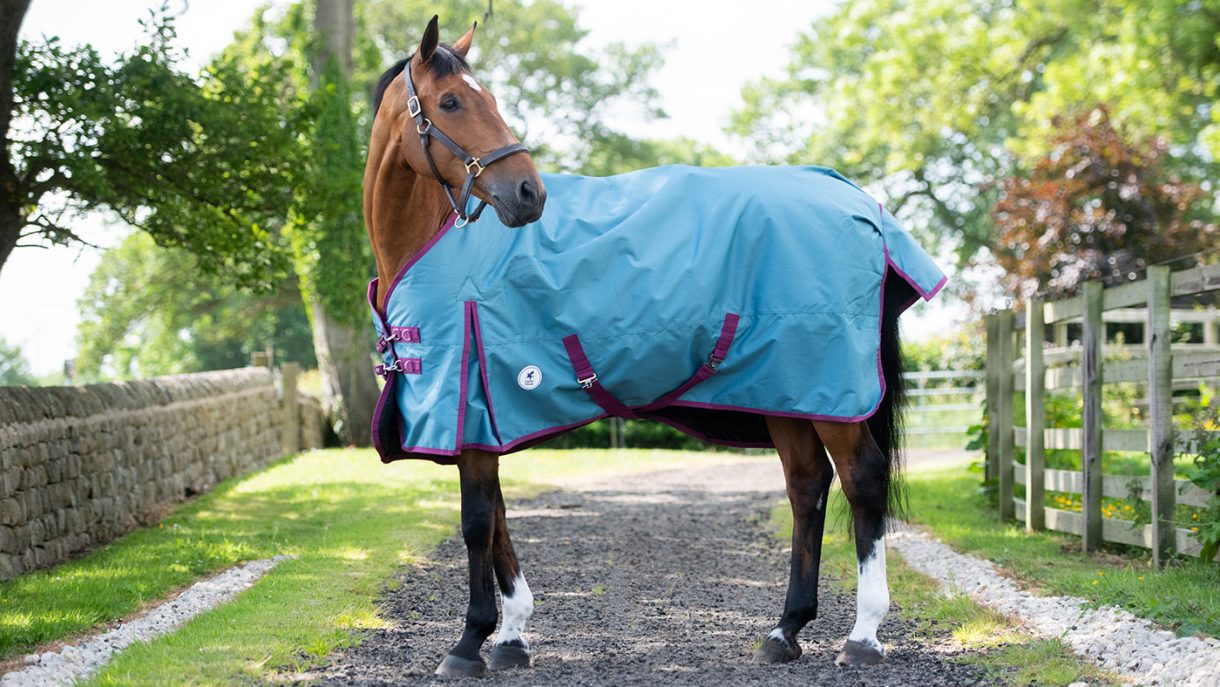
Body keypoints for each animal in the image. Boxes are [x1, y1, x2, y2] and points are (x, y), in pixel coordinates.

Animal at [363, 16, 942, 678]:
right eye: (453, 102)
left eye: (489, 100)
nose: (529, 194)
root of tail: (857, 201)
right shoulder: (486, 419)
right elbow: (501, 518)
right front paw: (510, 637)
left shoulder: (471, 409)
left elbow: (477, 522)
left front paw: (469, 643)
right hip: (784, 390)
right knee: (806, 486)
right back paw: (785, 630)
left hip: (831, 390)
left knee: (861, 479)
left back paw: (864, 635)